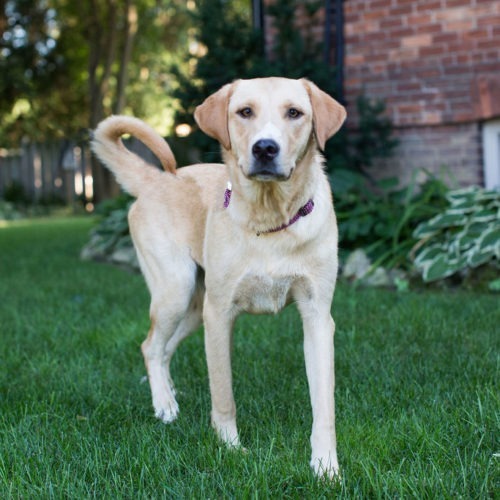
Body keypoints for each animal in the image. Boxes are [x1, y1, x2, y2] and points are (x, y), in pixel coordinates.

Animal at [92, 76, 346, 478]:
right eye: (245, 112)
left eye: (295, 113)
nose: (265, 148)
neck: (269, 219)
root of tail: (156, 179)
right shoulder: (220, 314)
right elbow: (223, 393)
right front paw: (230, 448)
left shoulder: (318, 316)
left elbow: (324, 406)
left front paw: (325, 467)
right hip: (177, 292)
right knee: (150, 346)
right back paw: (163, 405)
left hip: (194, 308)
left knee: (162, 349)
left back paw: (168, 393)